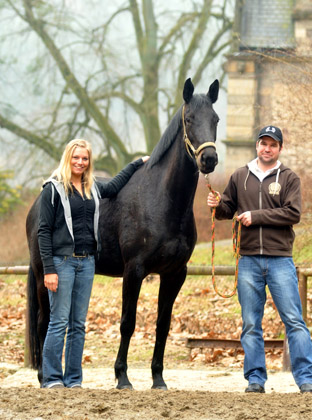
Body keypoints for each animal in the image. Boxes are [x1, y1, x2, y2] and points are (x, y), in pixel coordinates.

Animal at [25, 77, 219, 388]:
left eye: (215, 119)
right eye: (189, 119)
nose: (209, 159)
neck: (162, 200)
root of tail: (36, 206)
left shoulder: (175, 273)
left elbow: (163, 325)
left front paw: (158, 379)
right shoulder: (134, 270)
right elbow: (128, 322)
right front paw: (122, 377)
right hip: (45, 275)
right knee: (45, 322)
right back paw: (45, 377)